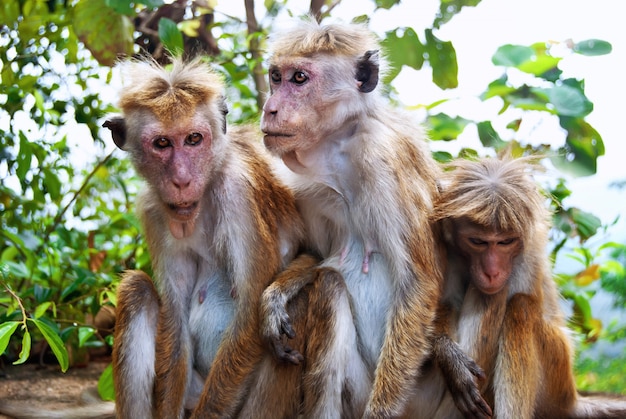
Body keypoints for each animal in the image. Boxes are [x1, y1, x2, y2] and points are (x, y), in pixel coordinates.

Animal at [102, 56, 304, 419]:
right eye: (162, 144)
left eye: (194, 139)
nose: (182, 180)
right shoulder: (155, 210)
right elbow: (175, 319)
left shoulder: (237, 190)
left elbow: (250, 310)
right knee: (137, 289)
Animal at [404, 157, 624, 419]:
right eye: (478, 241)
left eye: (505, 242)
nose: (492, 271)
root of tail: (572, 400)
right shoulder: (446, 250)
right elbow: (443, 304)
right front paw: (450, 358)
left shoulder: (527, 258)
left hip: (557, 376)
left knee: (520, 306)